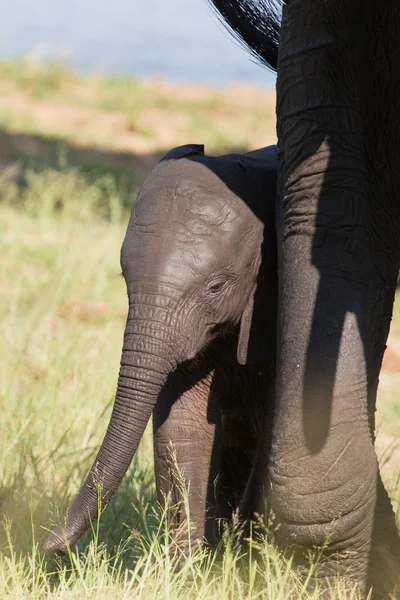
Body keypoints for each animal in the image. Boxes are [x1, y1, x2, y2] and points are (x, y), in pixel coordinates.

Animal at [43, 142, 276, 552]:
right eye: (124, 276)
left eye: (216, 287)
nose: (48, 547)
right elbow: (182, 425)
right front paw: (192, 565)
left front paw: (242, 556)